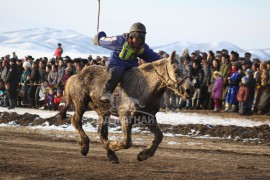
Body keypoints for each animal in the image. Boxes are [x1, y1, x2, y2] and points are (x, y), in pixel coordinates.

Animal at [59, 50, 194, 163]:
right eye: (176, 71)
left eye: (187, 71)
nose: (190, 90)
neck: (145, 86)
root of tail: (76, 75)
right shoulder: (125, 117)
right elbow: (127, 142)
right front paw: (110, 145)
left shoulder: (148, 117)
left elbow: (159, 136)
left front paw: (143, 155)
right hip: (81, 103)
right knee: (76, 121)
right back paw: (85, 146)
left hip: (102, 111)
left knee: (101, 131)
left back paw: (111, 155)